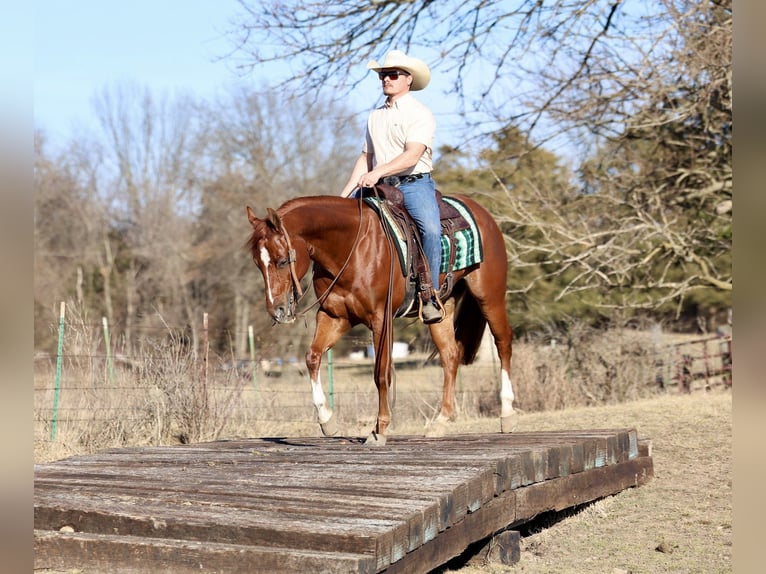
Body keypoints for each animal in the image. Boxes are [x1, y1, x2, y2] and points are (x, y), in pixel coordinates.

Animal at [245, 193, 515, 445]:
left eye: (282, 261)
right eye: (257, 263)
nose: (277, 310)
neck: (350, 248)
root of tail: (482, 212)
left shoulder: (381, 319)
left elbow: (381, 373)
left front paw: (380, 429)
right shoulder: (334, 316)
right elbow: (312, 357)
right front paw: (327, 421)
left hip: (489, 297)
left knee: (503, 343)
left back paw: (507, 413)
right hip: (442, 309)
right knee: (450, 355)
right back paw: (441, 421)